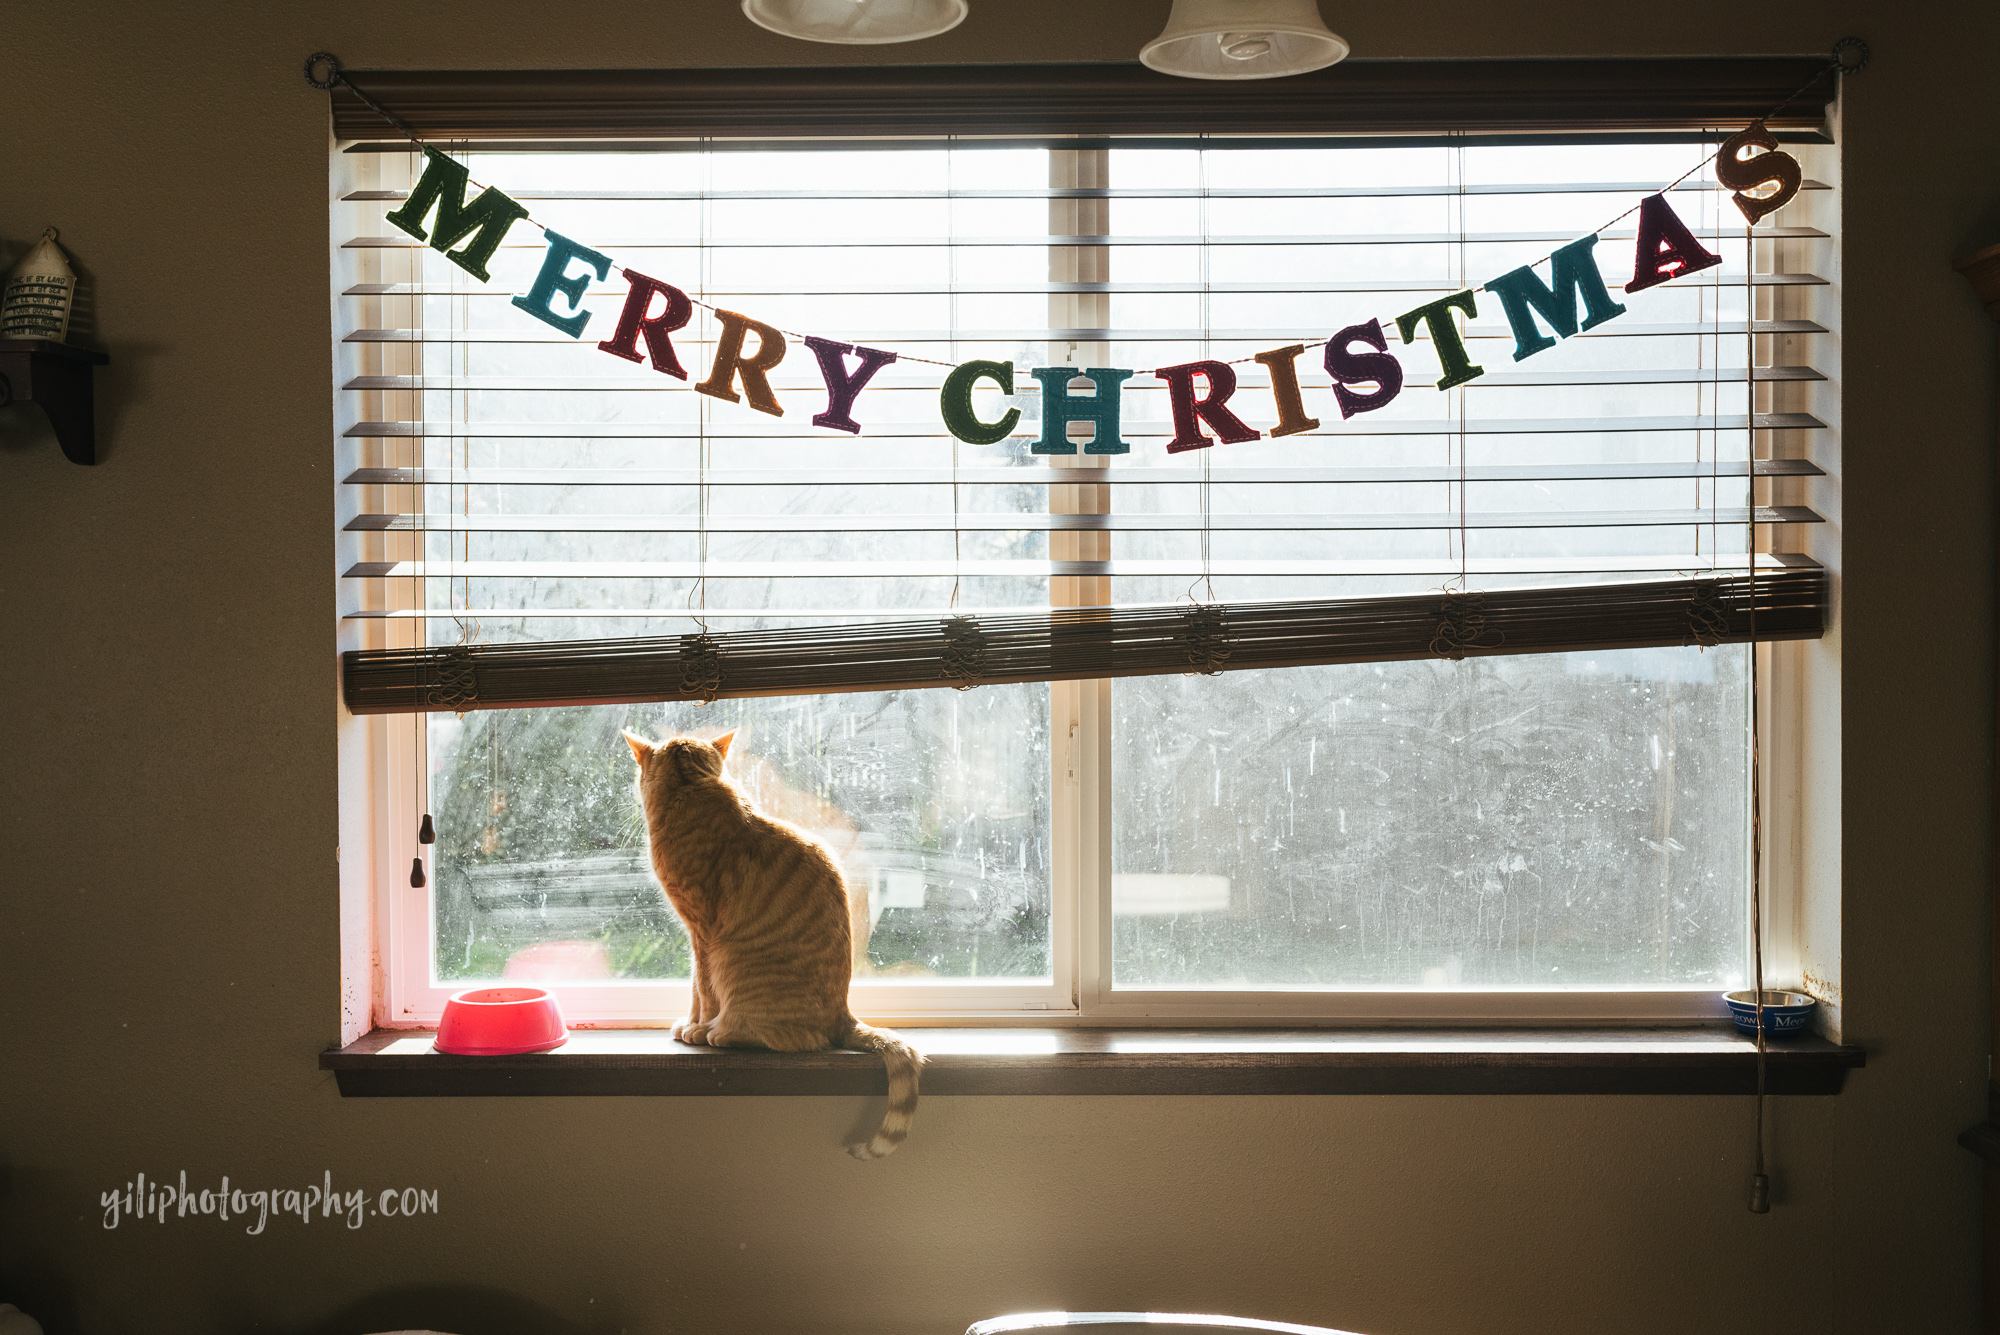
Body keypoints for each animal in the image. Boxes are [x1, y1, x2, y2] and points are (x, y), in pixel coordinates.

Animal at [620, 731, 924, 1159]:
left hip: (731, 962)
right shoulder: (696, 934)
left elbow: (703, 990)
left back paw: (720, 1033)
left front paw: (697, 1027)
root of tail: (843, 1014)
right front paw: (689, 1022)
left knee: (786, 1039)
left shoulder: (702, 932)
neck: (694, 786)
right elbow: (695, 989)